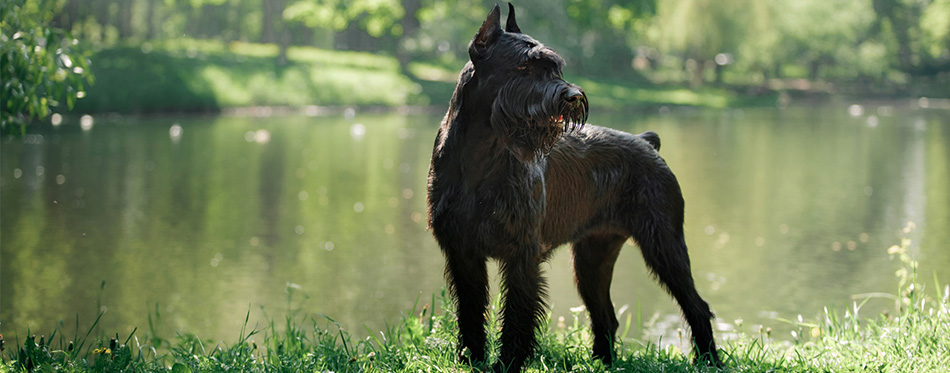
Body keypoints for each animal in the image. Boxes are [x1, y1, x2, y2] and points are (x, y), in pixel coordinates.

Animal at [426, 2, 720, 370]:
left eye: (555, 67)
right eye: (524, 65)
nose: (572, 95)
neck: (481, 155)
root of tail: (645, 142)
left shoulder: (521, 255)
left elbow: (517, 315)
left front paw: (508, 362)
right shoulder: (463, 253)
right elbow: (470, 310)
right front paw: (471, 359)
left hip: (665, 247)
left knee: (697, 306)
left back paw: (710, 360)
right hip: (592, 259)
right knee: (606, 315)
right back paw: (604, 362)